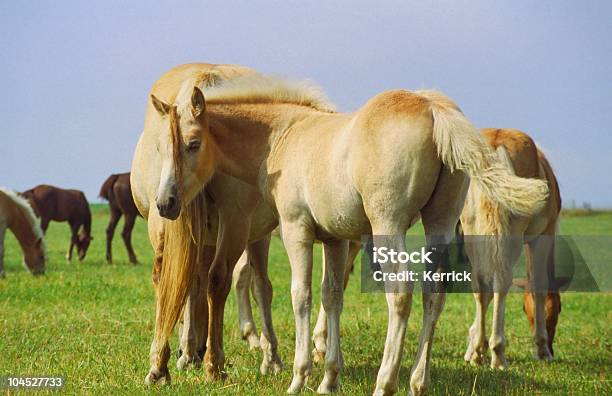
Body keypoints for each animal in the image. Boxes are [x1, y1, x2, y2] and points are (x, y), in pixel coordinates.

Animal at [130, 64, 284, 384]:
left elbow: (193, 285)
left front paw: (189, 350)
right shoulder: (254, 233)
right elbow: (261, 287)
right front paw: (271, 357)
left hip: (162, 223)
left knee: (168, 279)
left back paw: (162, 363)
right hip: (236, 225)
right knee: (218, 280)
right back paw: (213, 361)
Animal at [146, 72, 548, 394]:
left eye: (193, 144)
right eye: (160, 147)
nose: (165, 203)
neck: (284, 134)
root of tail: (434, 108)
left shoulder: (296, 230)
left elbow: (301, 296)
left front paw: (299, 377)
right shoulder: (335, 240)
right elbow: (332, 297)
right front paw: (329, 379)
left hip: (388, 226)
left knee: (400, 294)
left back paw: (386, 382)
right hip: (440, 224)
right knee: (433, 294)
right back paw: (418, 382)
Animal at [462, 129, 568, 368]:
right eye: (559, 308)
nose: (552, 349)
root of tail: (495, 145)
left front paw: (472, 346)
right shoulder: (542, 237)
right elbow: (539, 285)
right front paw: (542, 349)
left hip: (473, 232)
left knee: (480, 284)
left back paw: (480, 351)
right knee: (501, 281)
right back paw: (498, 355)